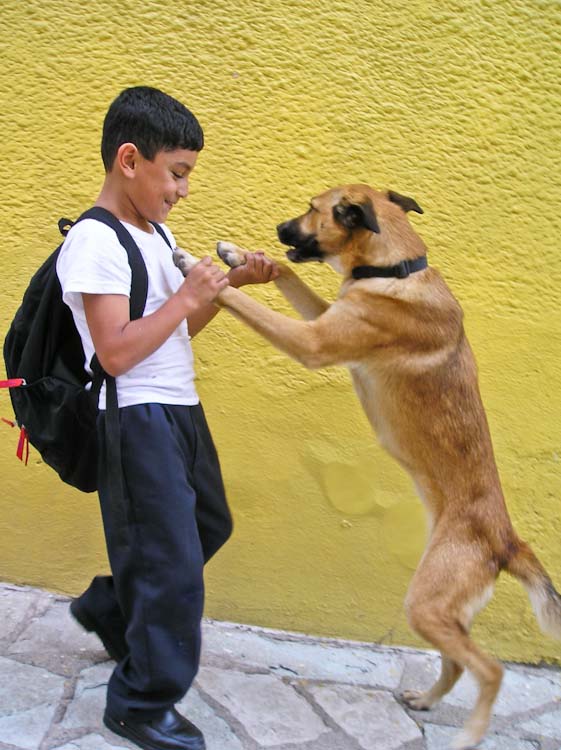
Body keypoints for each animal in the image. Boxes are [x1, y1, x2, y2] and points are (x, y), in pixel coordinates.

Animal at [174, 184, 560, 750]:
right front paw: (239, 256)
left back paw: (468, 734)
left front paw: (195, 267)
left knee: (490, 670)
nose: (278, 229)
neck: (393, 270)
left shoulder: (312, 342)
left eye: (312, 209)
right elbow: (285, 273)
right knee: (458, 662)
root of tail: (507, 540)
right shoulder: (323, 319)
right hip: (437, 604)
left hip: (425, 605)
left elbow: (238, 296)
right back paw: (425, 700)